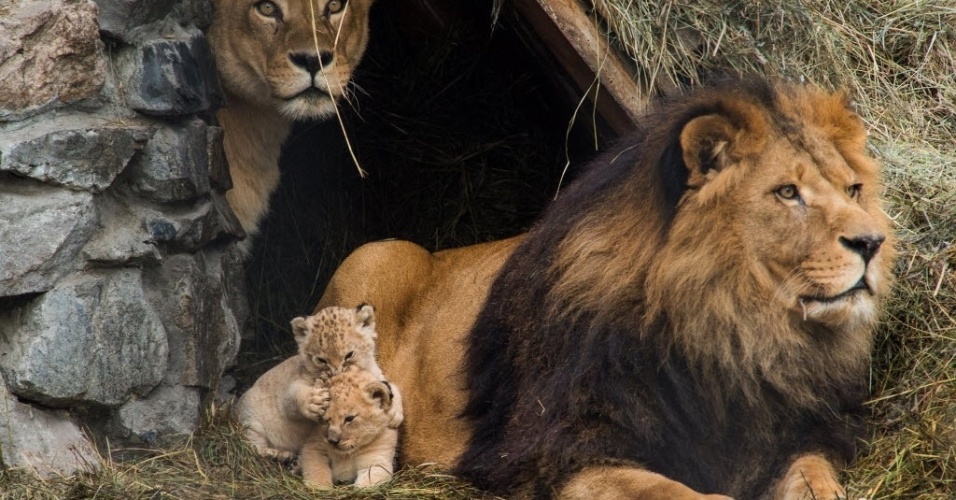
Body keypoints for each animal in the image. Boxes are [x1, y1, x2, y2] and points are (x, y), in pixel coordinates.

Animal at [315, 78, 895, 499]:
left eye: (853, 189)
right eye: (787, 193)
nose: (872, 242)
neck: (733, 333)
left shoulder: (794, 435)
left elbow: (813, 474)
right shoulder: (567, 453)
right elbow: (676, 494)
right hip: (377, 254)